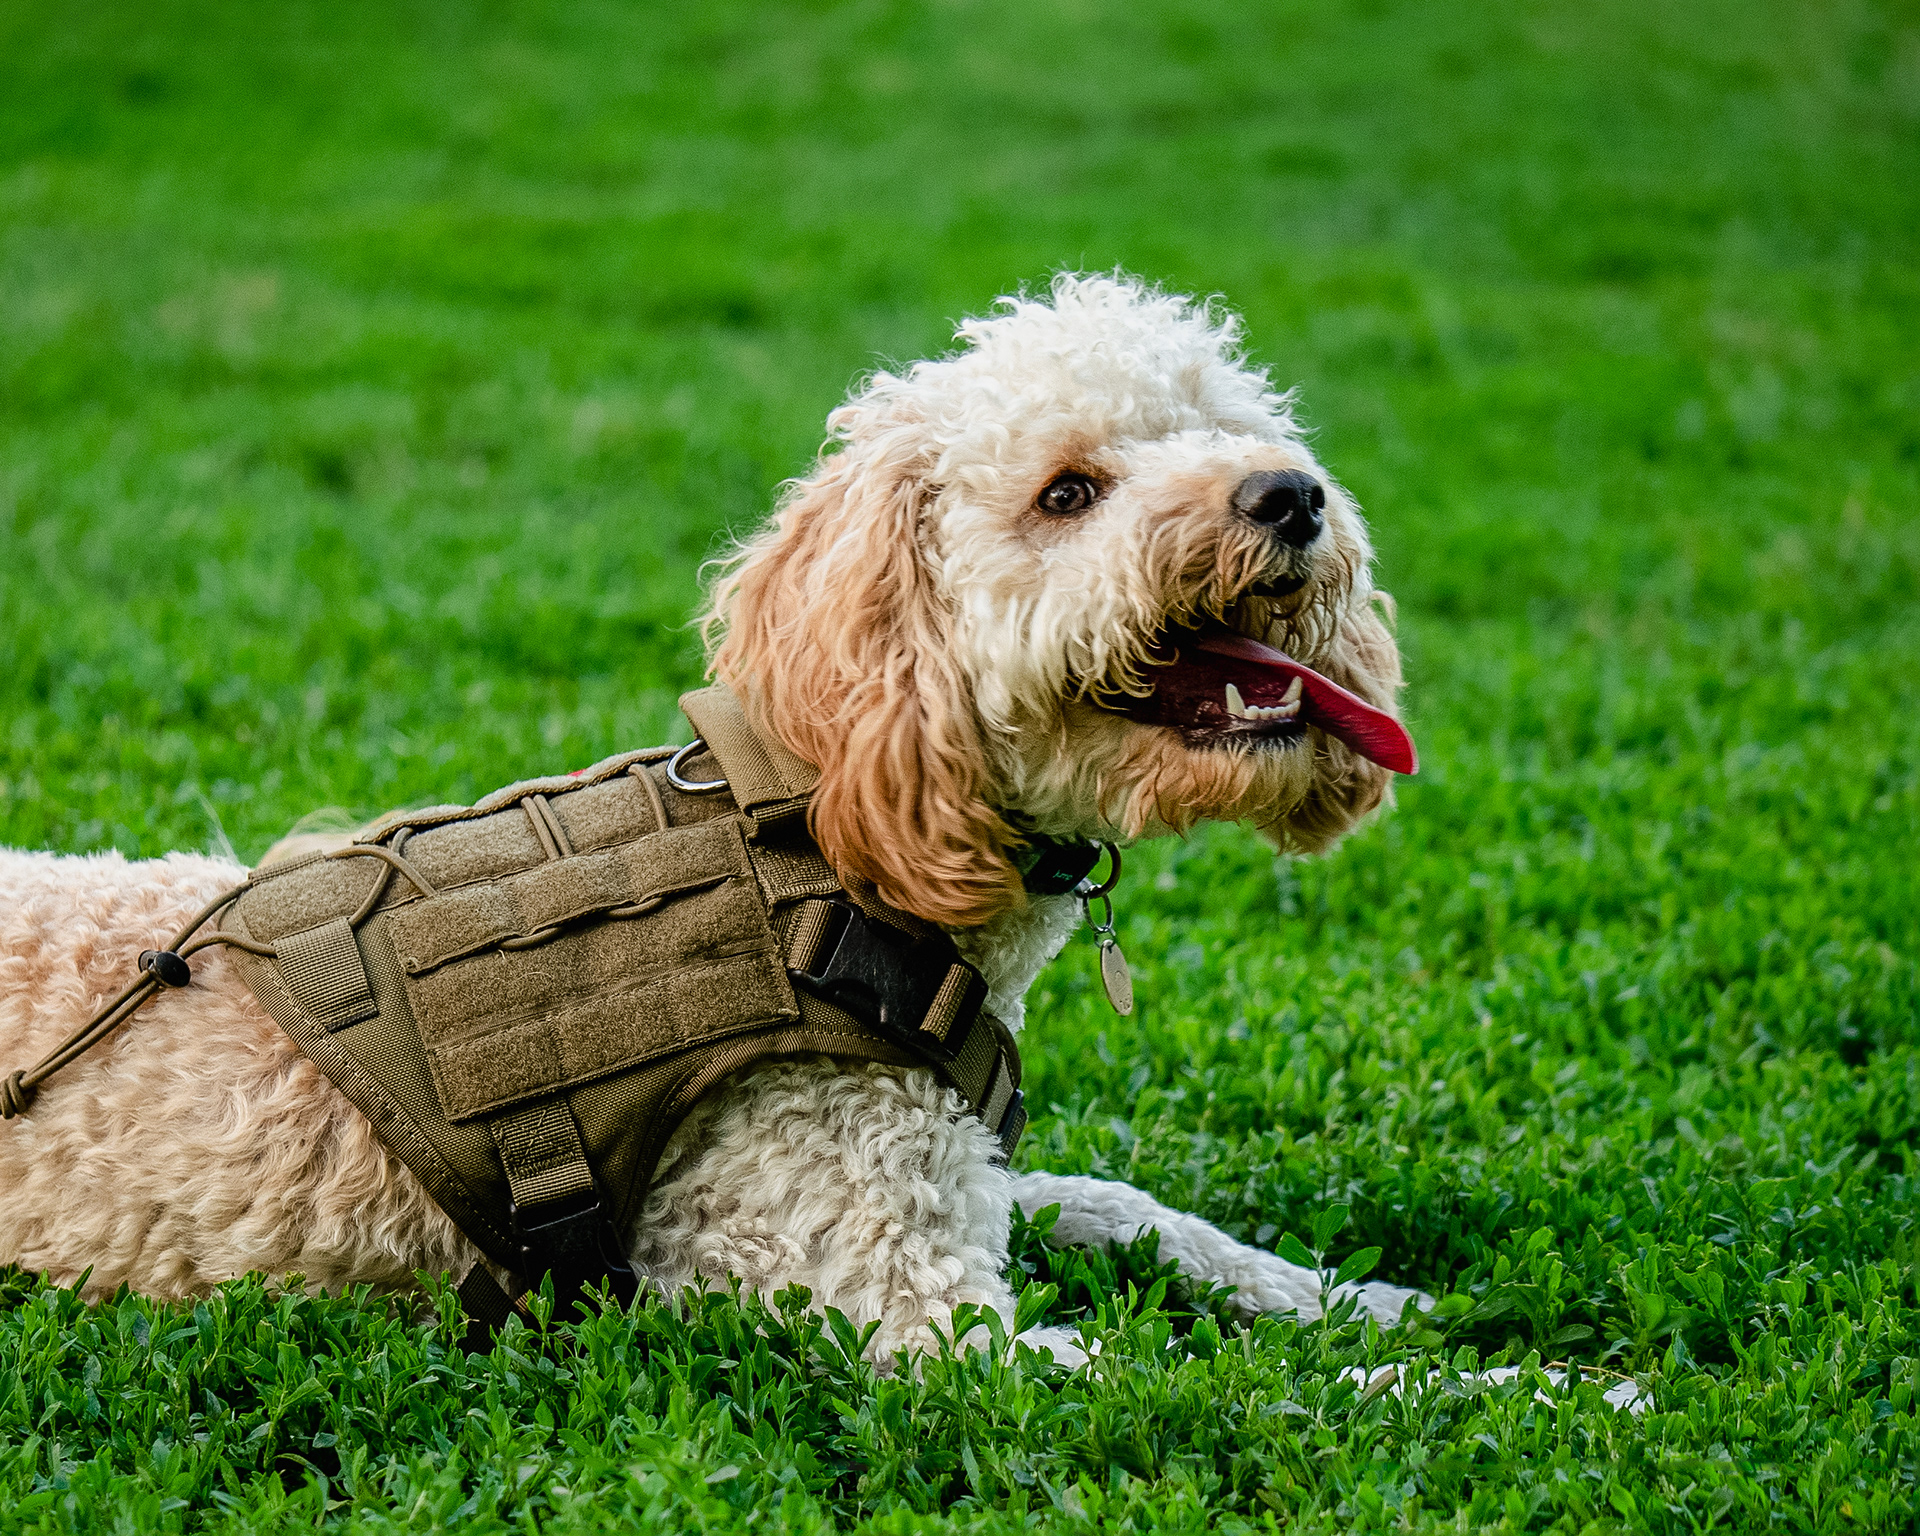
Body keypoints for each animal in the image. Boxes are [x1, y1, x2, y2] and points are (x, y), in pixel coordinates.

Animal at [0, 273, 1425, 1363]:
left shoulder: (961, 1179)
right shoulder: (902, 1306)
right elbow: (1216, 1384)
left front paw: (1355, 1297)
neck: (822, 850)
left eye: (1222, 429)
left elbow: (1133, 1210)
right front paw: (1461, 1387)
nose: (1291, 496)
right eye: (1068, 492)